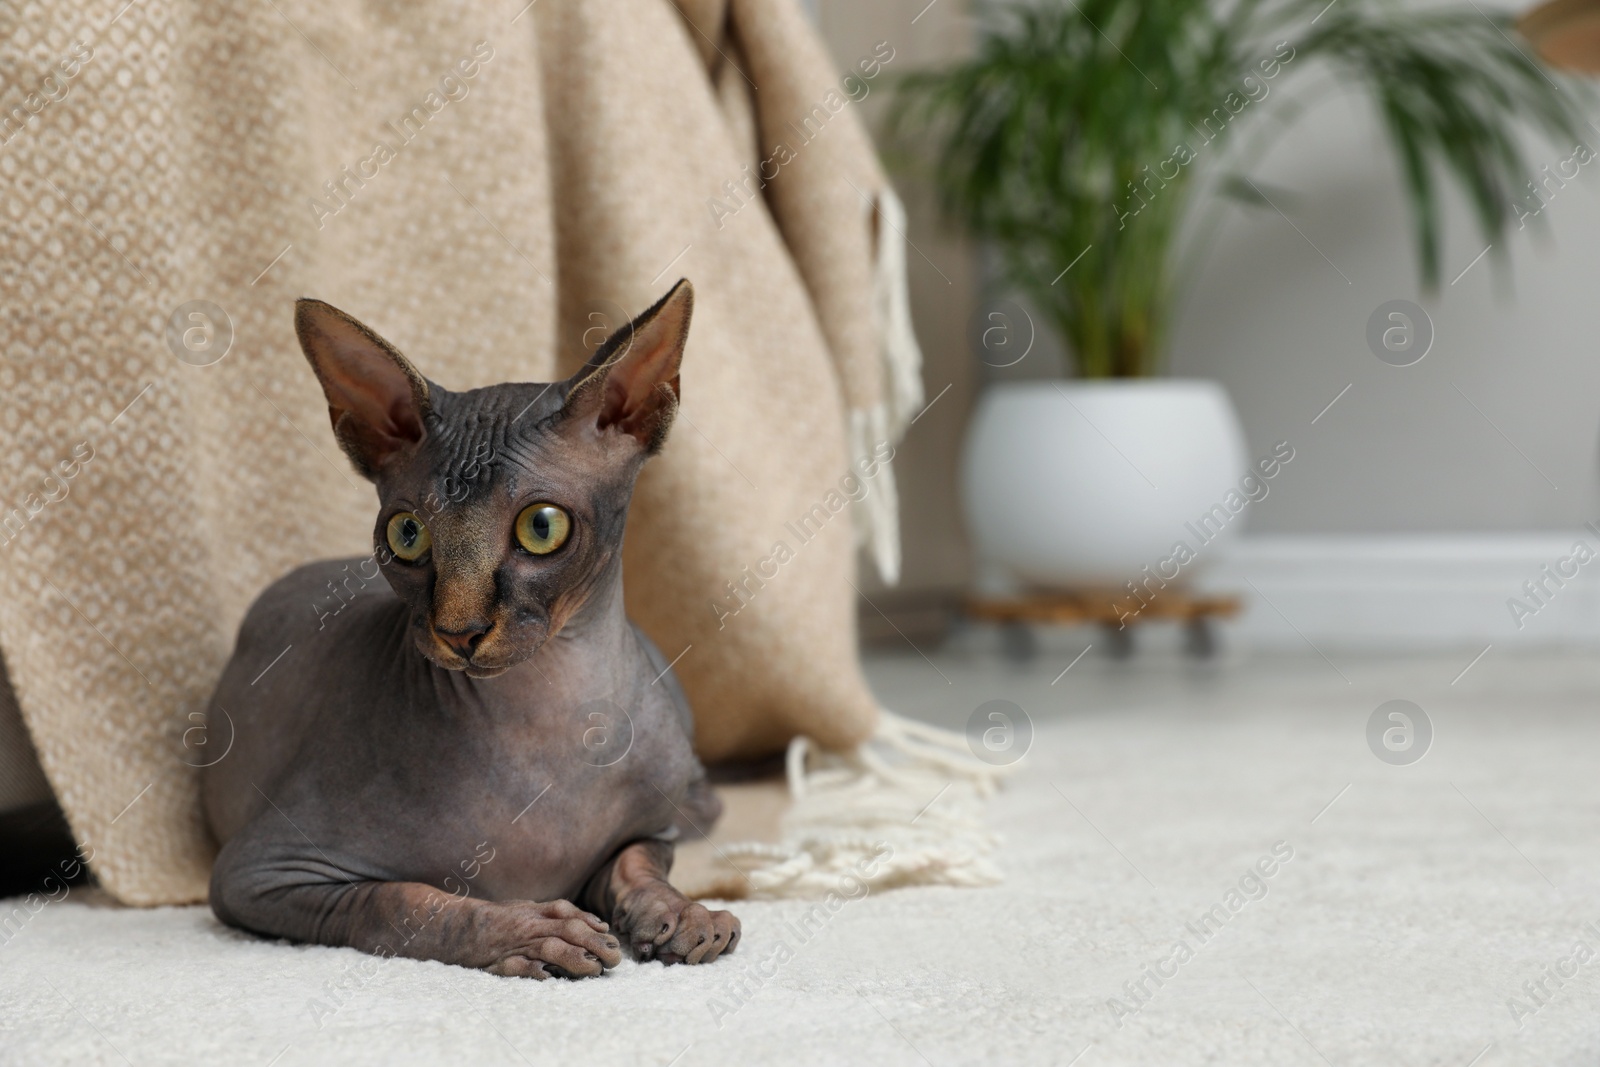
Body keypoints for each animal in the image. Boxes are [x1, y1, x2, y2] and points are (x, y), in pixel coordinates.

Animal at [201, 281, 742, 979]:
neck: (550, 715)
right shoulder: (258, 871)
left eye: (542, 527)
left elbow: (637, 862)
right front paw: (531, 931)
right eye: (407, 534)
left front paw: (679, 912)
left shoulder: (651, 831)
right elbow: (404, 900)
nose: (460, 630)